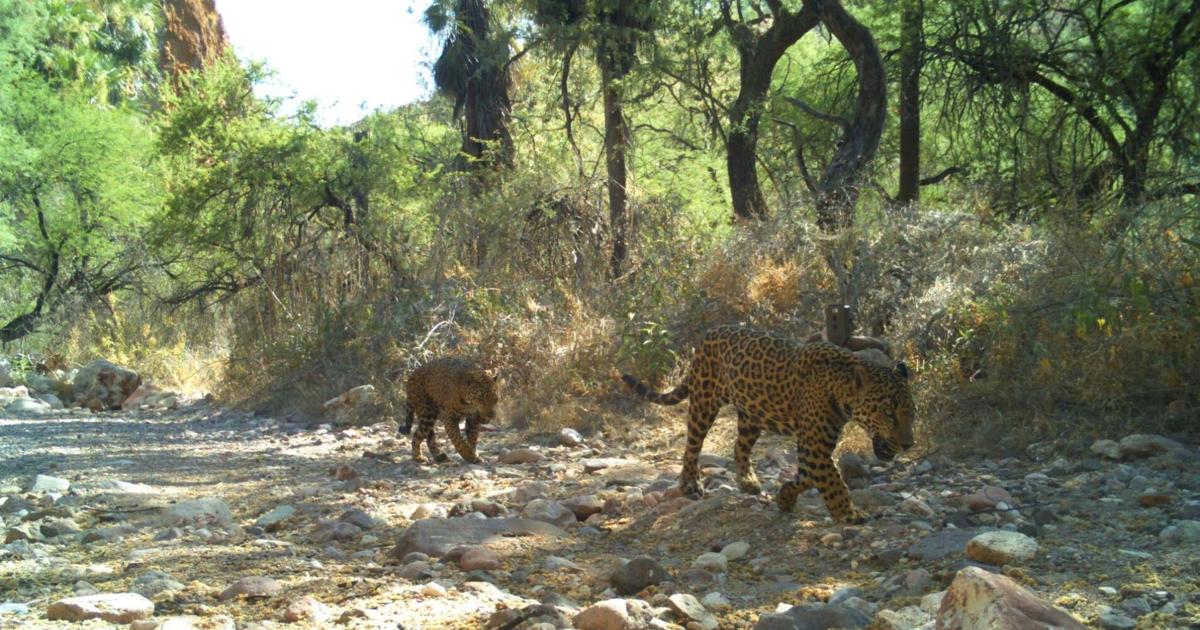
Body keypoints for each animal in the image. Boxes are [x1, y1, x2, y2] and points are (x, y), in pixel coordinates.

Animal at [622, 325, 914, 523]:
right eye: (888, 413)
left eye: (912, 413)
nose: (908, 444)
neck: (840, 388)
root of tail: (709, 332)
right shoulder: (815, 447)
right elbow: (833, 482)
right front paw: (850, 514)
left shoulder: (813, 448)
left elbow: (806, 478)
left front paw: (784, 497)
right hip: (704, 402)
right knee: (692, 445)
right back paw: (690, 484)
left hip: (752, 415)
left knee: (739, 447)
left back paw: (748, 481)